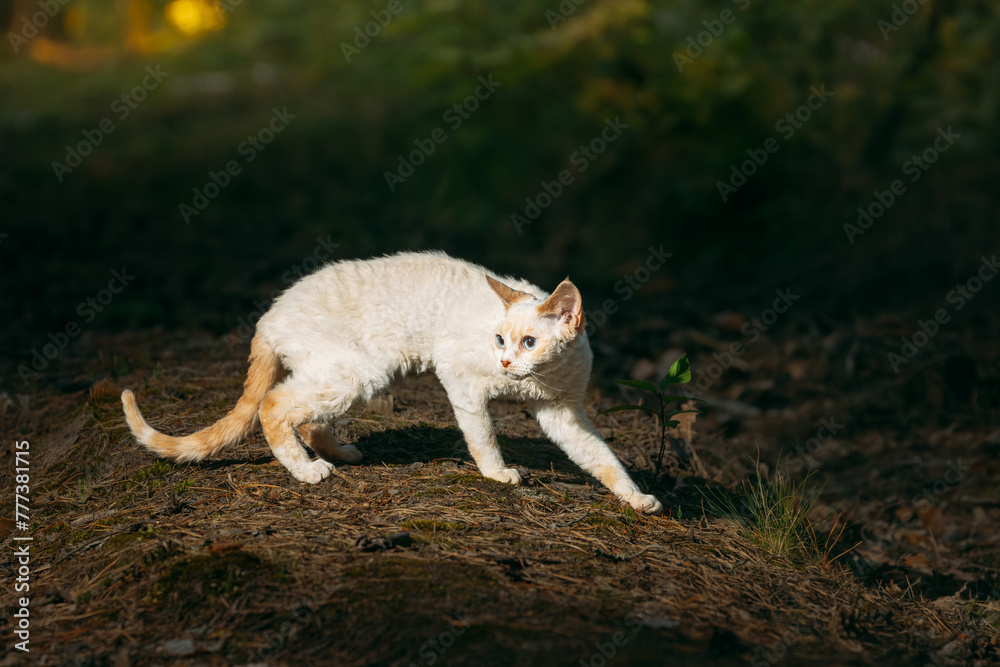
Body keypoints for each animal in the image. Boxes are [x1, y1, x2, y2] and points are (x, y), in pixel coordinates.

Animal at [121, 253, 664, 516]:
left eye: (529, 342)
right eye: (498, 339)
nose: (507, 361)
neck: (540, 380)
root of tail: (268, 316)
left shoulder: (564, 413)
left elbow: (604, 460)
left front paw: (637, 499)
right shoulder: (460, 378)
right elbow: (483, 437)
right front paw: (498, 474)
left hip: (347, 372)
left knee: (305, 415)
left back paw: (338, 453)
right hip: (359, 370)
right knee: (274, 406)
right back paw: (307, 470)